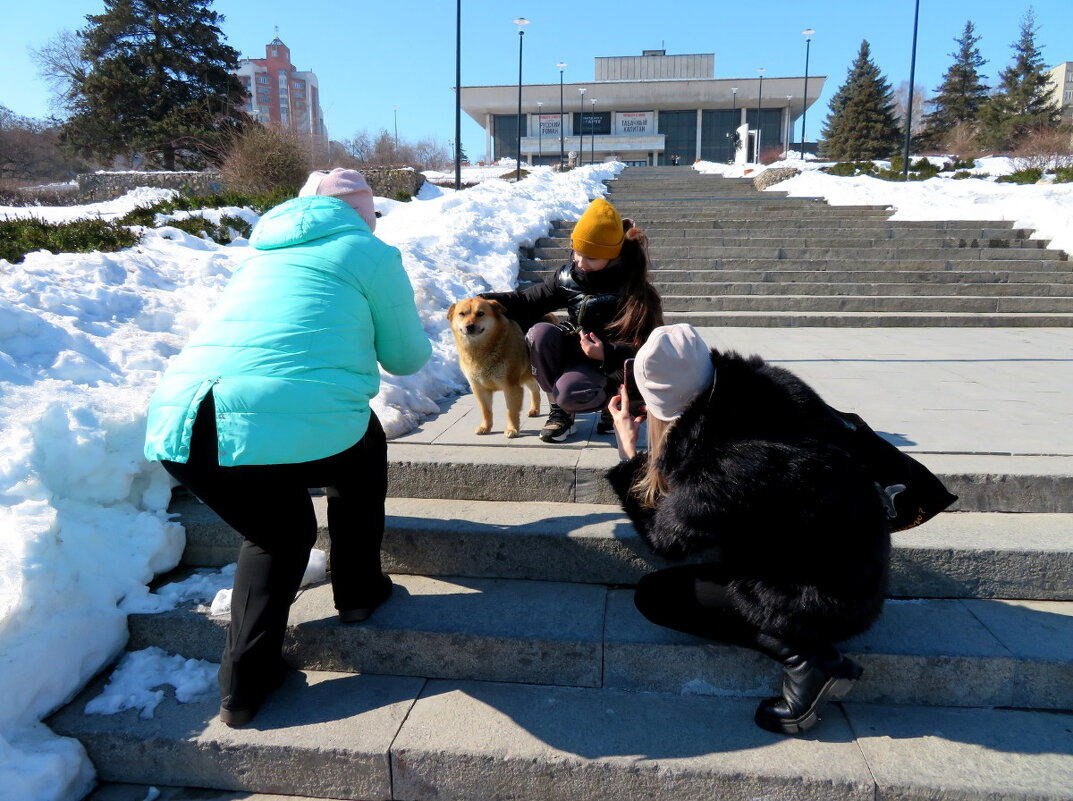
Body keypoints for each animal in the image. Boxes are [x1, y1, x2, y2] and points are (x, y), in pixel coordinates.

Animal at [446, 298, 540, 439]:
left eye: (480, 313)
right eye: (462, 314)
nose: (469, 326)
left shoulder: (511, 386)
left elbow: (511, 411)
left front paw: (512, 429)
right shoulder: (479, 389)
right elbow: (486, 410)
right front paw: (486, 427)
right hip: (528, 375)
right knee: (535, 389)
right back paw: (535, 409)